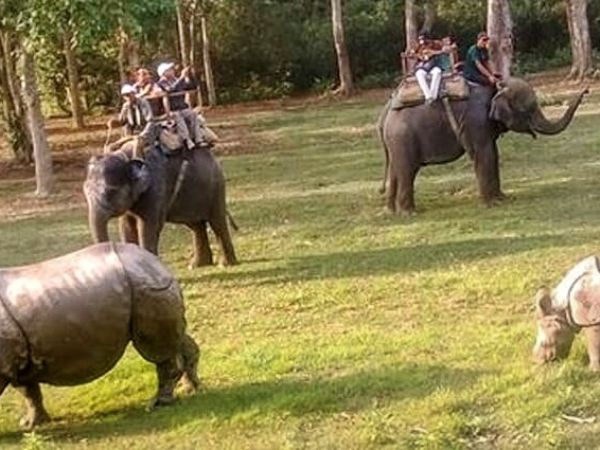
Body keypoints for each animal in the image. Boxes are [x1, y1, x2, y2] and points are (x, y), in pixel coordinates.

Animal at [0, 243, 203, 428]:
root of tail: (158, 263)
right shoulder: (18, 361)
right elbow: (29, 390)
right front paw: (31, 424)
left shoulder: (7, 362)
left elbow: (24, 389)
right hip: (147, 287)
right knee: (176, 341)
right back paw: (191, 390)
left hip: (147, 289)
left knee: (159, 351)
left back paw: (157, 404)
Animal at [84, 143, 237, 268]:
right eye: (85, 191)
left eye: (111, 191)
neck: (126, 156)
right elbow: (127, 226)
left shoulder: (155, 188)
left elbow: (148, 226)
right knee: (196, 226)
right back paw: (197, 265)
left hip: (216, 187)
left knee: (217, 222)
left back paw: (225, 264)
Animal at [378, 78, 588, 214]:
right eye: (528, 110)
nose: (586, 90)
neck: (496, 89)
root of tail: (386, 111)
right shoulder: (476, 123)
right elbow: (485, 154)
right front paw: (492, 205)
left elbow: (493, 155)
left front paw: (503, 199)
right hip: (403, 138)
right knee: (407, 171)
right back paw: (410, 213)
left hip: (396, 142)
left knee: (396, 170)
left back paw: (391, 211)